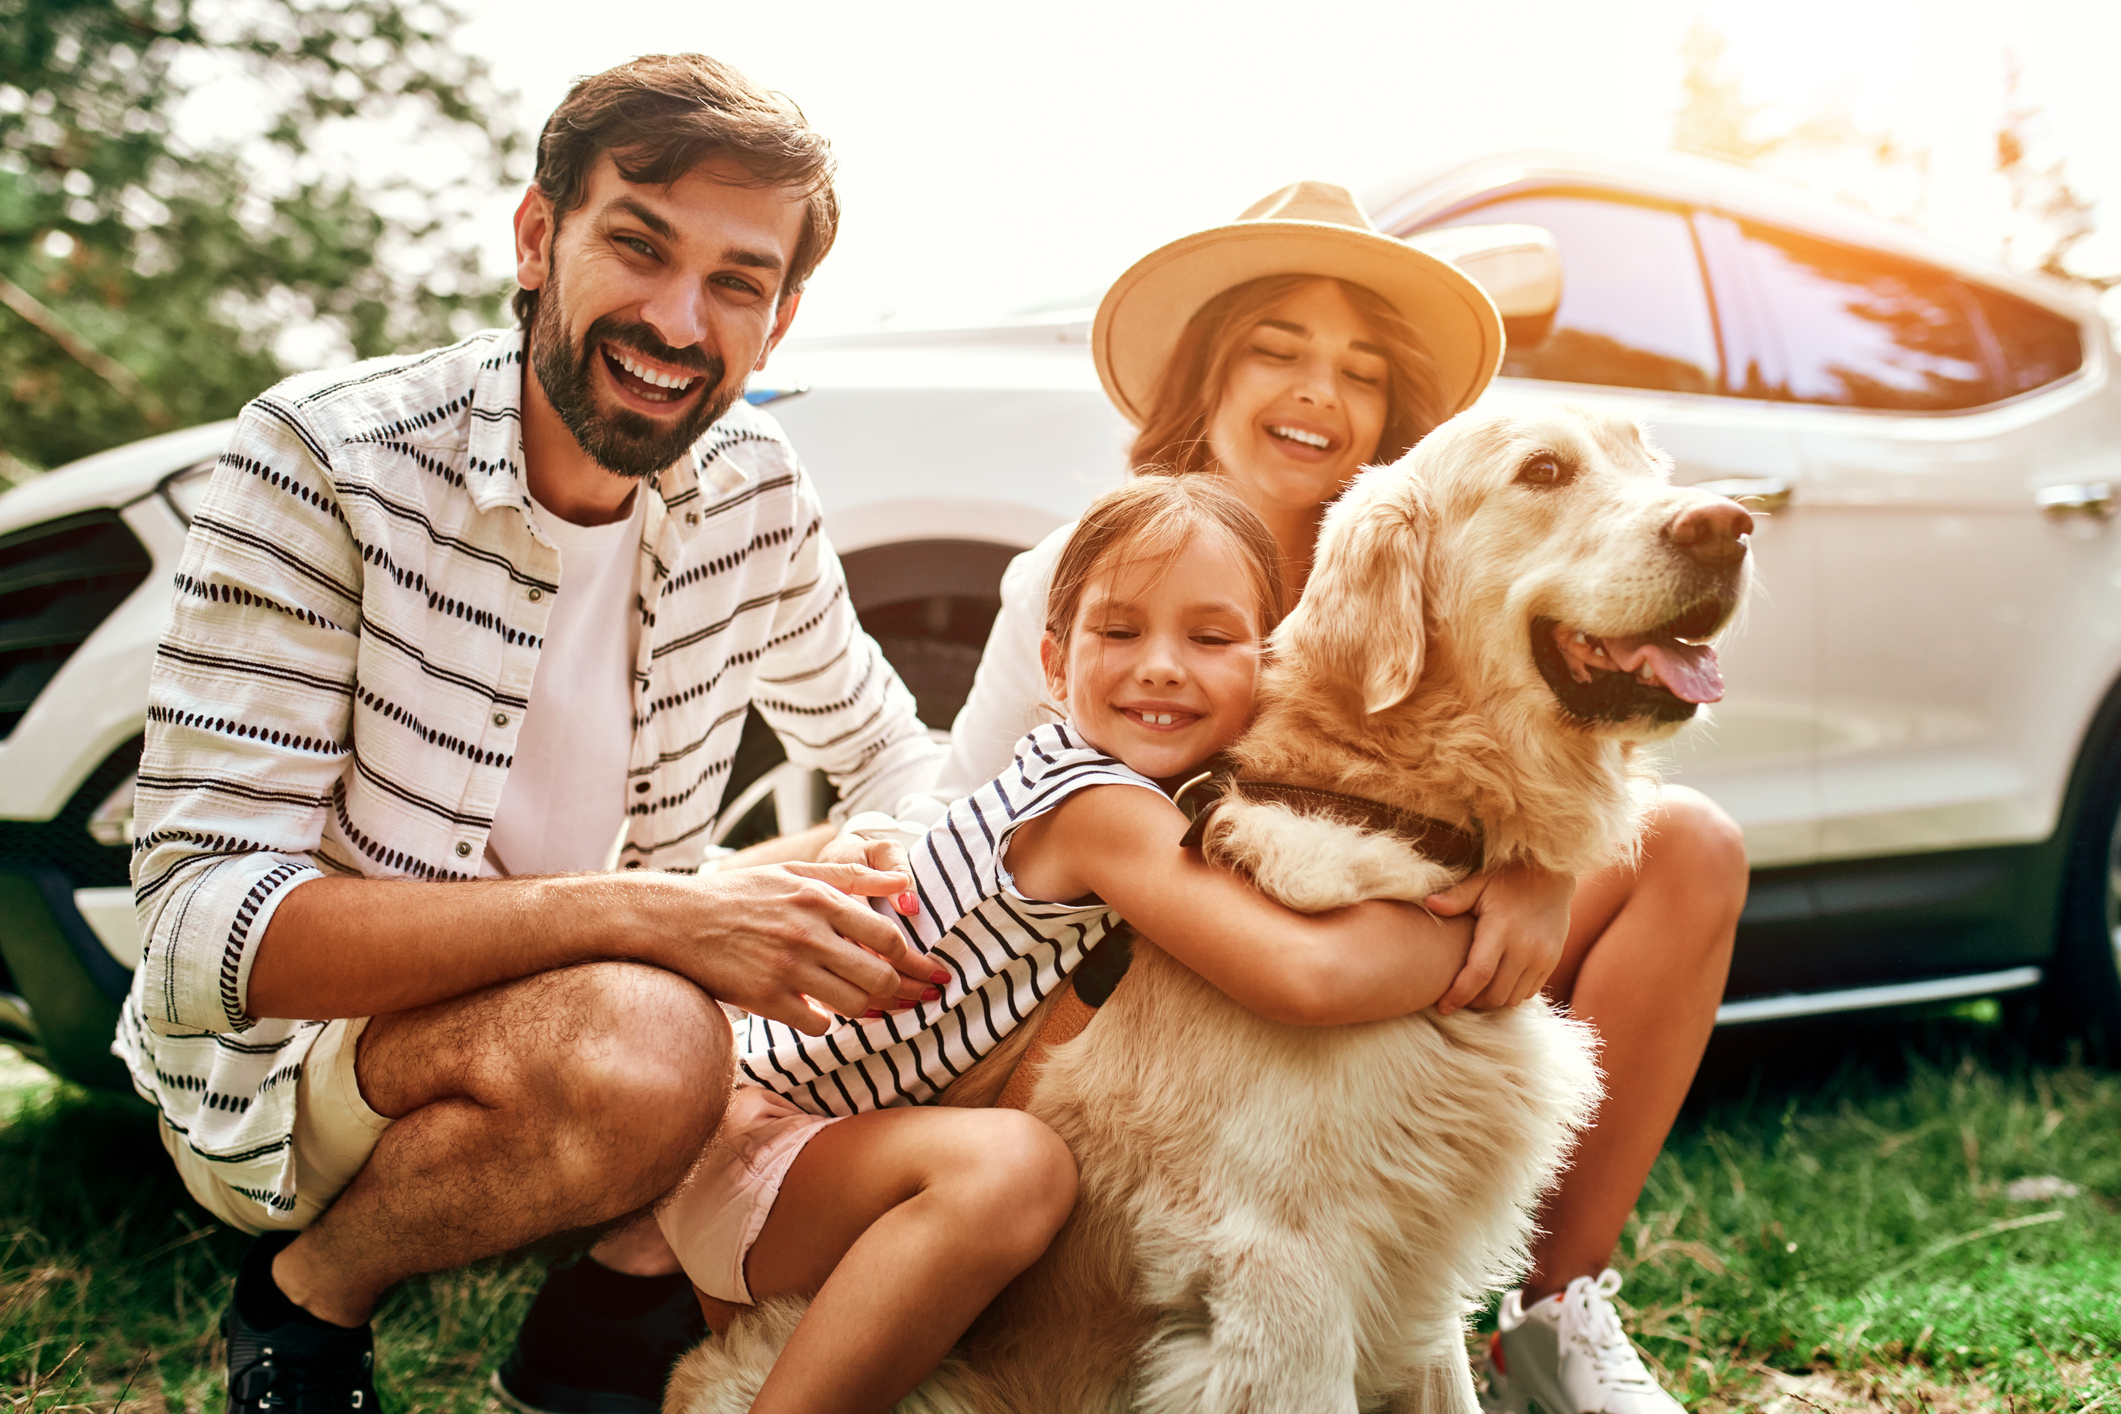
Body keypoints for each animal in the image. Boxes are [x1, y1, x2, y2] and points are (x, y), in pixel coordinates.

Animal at [674, 407, 1756, 1414]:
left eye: (1651, 461)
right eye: (1543, 471)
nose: (1728, 524)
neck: (1375, 797)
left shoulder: (1415, 1270)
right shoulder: (1284, 1273)